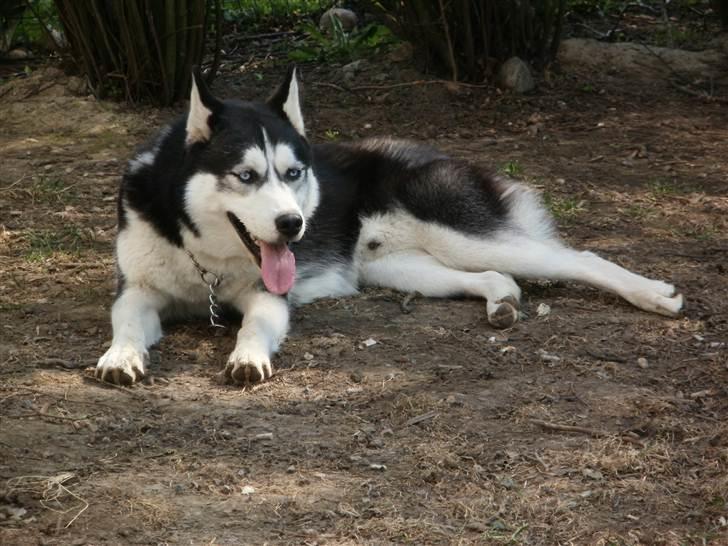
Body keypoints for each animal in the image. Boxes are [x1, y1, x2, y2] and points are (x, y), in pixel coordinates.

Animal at [95, 67, 684, 382]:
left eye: (293, 173)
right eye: (246, 175)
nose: (293, 225)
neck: (207, 259)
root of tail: (438, 155)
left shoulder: (268, 296)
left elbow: (253, 326)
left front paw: (246, 356)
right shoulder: (137, 291)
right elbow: (125, 324)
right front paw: (120, 356)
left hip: (465, 238)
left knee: (579, 258)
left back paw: (655, 294)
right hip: (402, 269)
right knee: (497, 278)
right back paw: (500, 303)